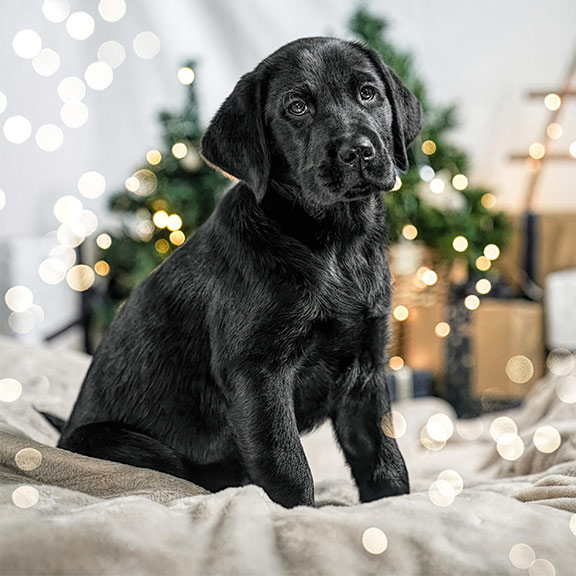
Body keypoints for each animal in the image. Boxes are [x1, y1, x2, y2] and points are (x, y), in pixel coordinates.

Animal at [58, 36, 420, 506]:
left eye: (367, 93)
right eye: (297, 107)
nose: (358, 150)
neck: (336, 244)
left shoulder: (366, 369)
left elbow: (384, 457)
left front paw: (395, 506)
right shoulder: (257, 372)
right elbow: (286, 463)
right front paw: (300, 513)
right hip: (114, 441)